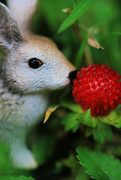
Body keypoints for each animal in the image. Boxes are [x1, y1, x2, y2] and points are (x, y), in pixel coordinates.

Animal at [0, 0, 75, 169]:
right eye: (34, 63)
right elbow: (15, 151)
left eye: (53, 44)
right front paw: (30, 163)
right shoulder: (11, 135)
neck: (14, 90)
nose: (72, 73)